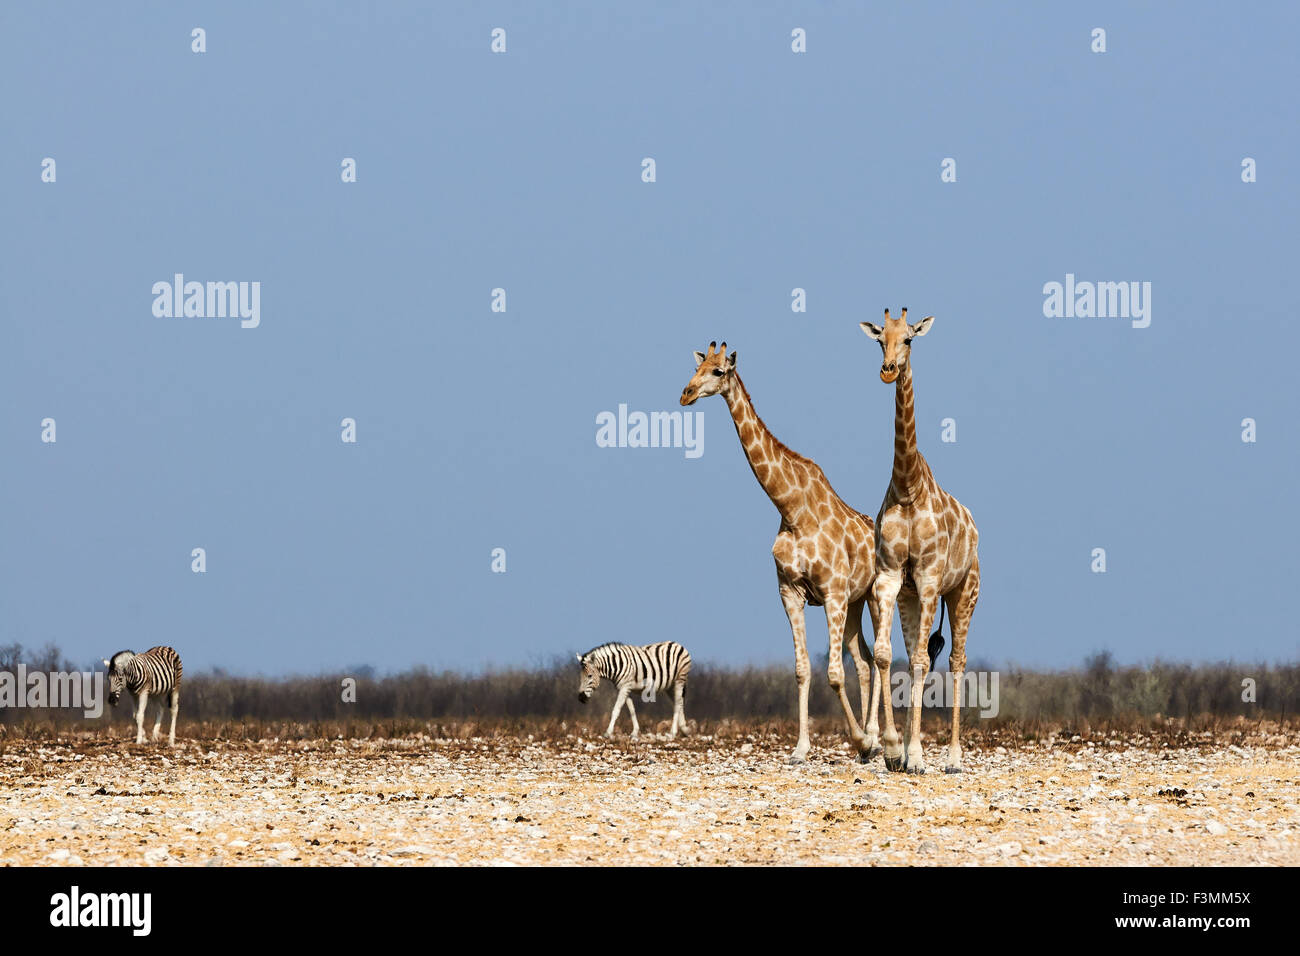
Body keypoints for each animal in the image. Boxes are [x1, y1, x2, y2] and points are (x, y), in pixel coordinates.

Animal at [680, 342, 880, 762]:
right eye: (696, 367)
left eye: (719, 371)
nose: (685, 394)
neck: (791, 510)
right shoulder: (791, 593)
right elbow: (803, 669)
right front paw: (801, 749)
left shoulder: (832, 593)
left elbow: (833, 673)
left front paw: (858, 739)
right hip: (854, 603)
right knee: (865, 660)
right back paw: (871, 742)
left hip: (872, 595)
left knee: (882, 658)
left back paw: (875, 736)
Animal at [859, 309, 980, 774]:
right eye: (880, 340)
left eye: (909, 339)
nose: (888, 369)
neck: (908, 486)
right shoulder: (892, 577)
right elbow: (884, 654)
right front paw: (895, 750)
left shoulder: (929, 579)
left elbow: (927, 660)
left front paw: (912, 755)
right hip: (913, 597)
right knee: (914, 659)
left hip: (965, 591)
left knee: (956, 660)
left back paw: (952, 758)